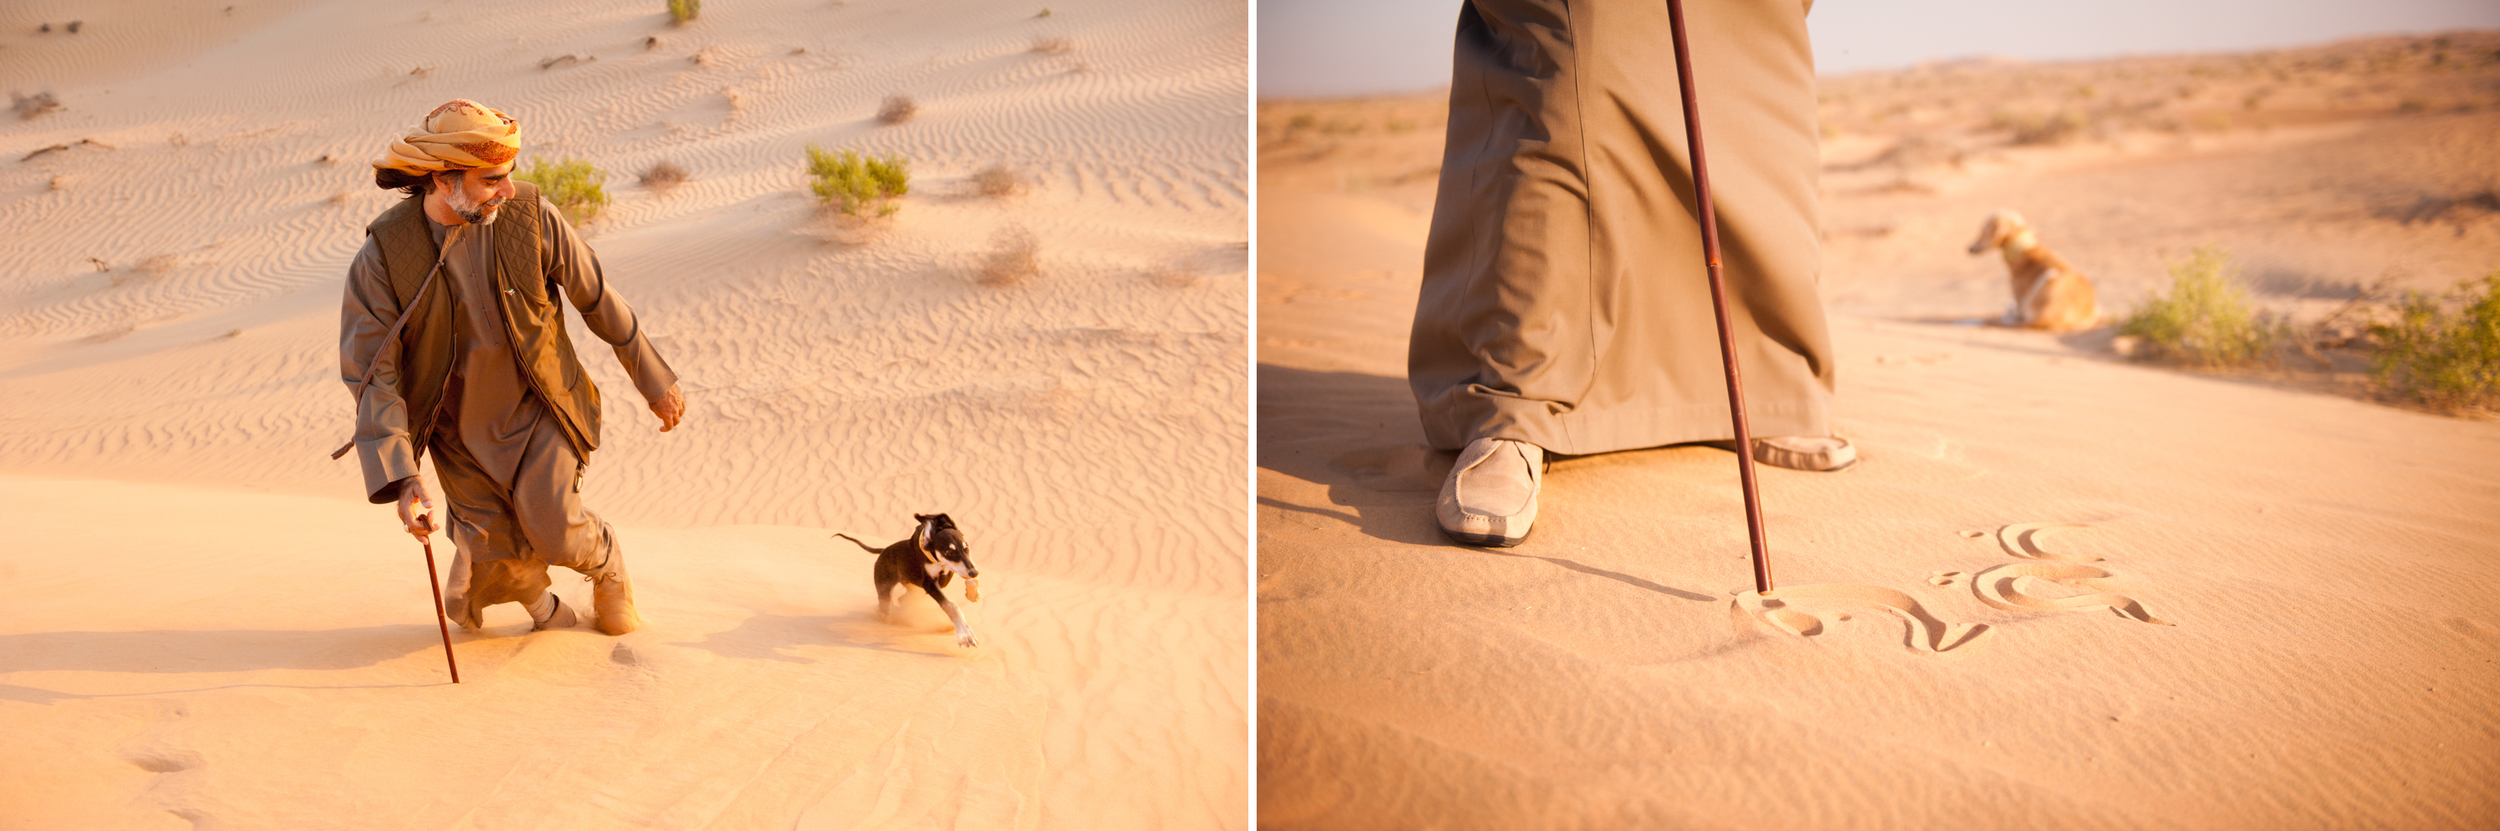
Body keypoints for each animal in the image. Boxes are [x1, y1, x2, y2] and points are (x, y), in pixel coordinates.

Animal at [835, 513, 980, 650]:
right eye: (949, 551)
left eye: (966, 548)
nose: (974, 572)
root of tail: (883, 551)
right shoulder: (929, 584)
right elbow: (951, 605)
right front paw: (965, 635)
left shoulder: (950, 572)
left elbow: (965, 574)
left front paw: (972, 593)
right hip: (885, 591)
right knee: (885, 609)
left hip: (913, 589)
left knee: (902, 599)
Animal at [1960, 207, 2100, 330]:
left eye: (1983, 230)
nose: (1969, 248)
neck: (2022, 249)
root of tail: (2044, 321)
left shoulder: (2020, 299)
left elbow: (2017, 311)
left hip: (2049, 276)